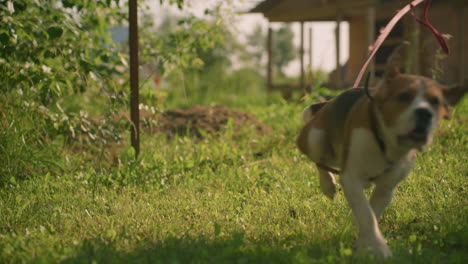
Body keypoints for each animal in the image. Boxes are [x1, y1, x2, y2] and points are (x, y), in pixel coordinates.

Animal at [296, 48, 464, 258]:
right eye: (404, 96)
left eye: (435, 102)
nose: (425, 113)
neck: (385, 143)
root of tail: (328, 103)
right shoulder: (350, 178)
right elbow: (366, 214)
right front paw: (380, 249)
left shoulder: (386, 189)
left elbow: (371, 215)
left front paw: (363, 248)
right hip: (314, 138)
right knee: (319, 161)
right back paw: (327, 184)